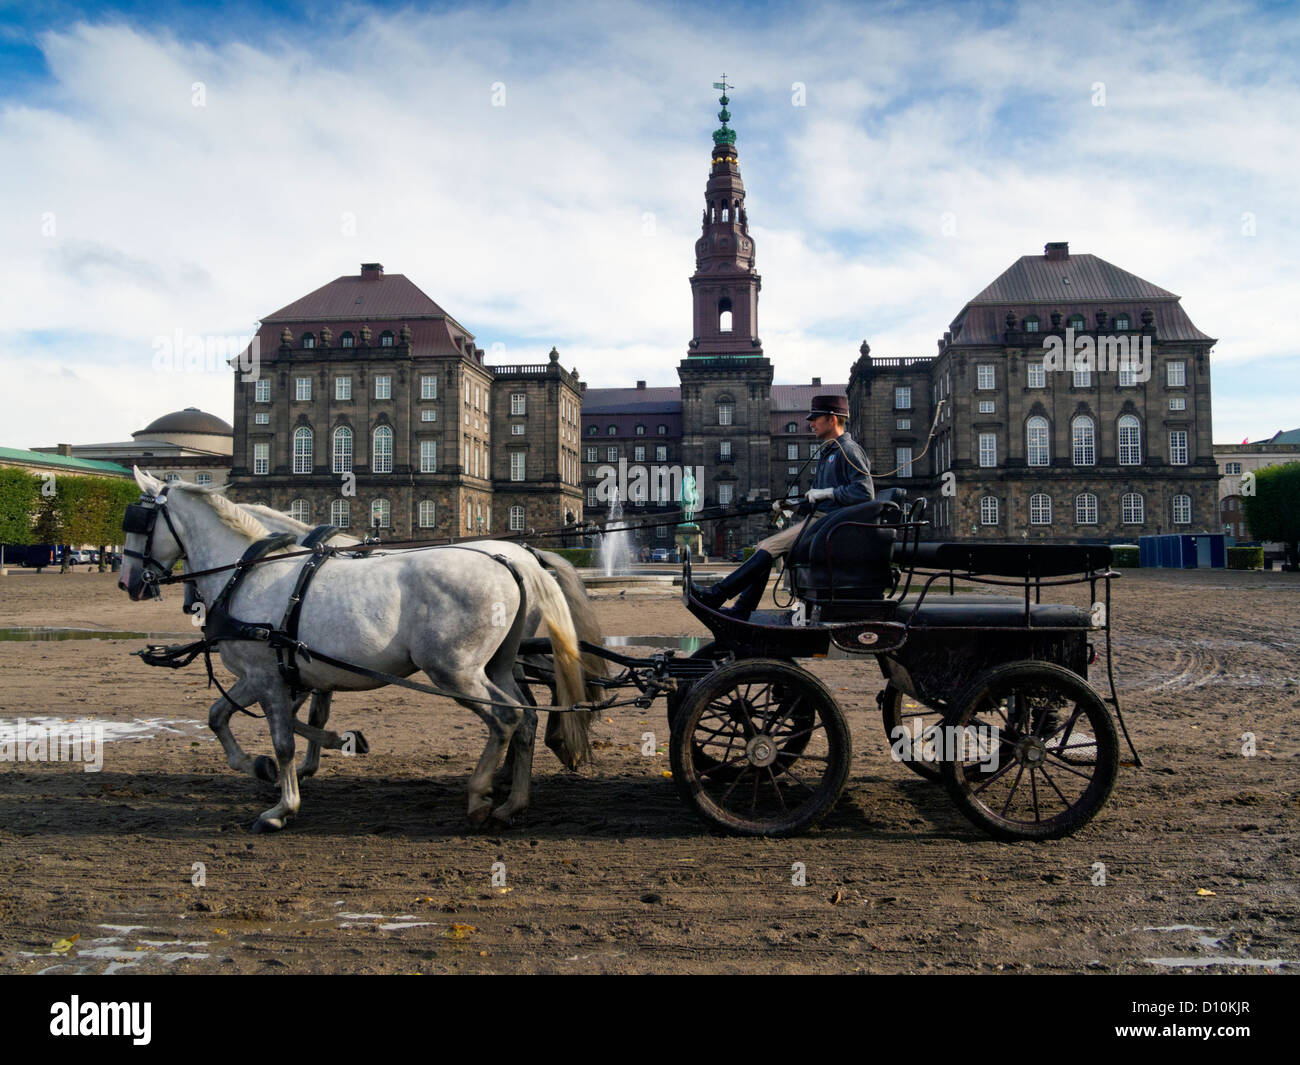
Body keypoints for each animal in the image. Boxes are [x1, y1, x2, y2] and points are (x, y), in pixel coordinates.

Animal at [122, 473, 590, 832]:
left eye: (139, 522)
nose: (128, 582)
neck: (249, 572)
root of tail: (514, 561)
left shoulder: (270, 677)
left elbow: (284, 738)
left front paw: (282, 806)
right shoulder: (267, 674)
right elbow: (220, 715)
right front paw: (260, 766)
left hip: (454, 671)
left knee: (506, 718)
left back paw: (479, 797)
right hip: (498, 665)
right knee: (526, 718)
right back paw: (513, 802)